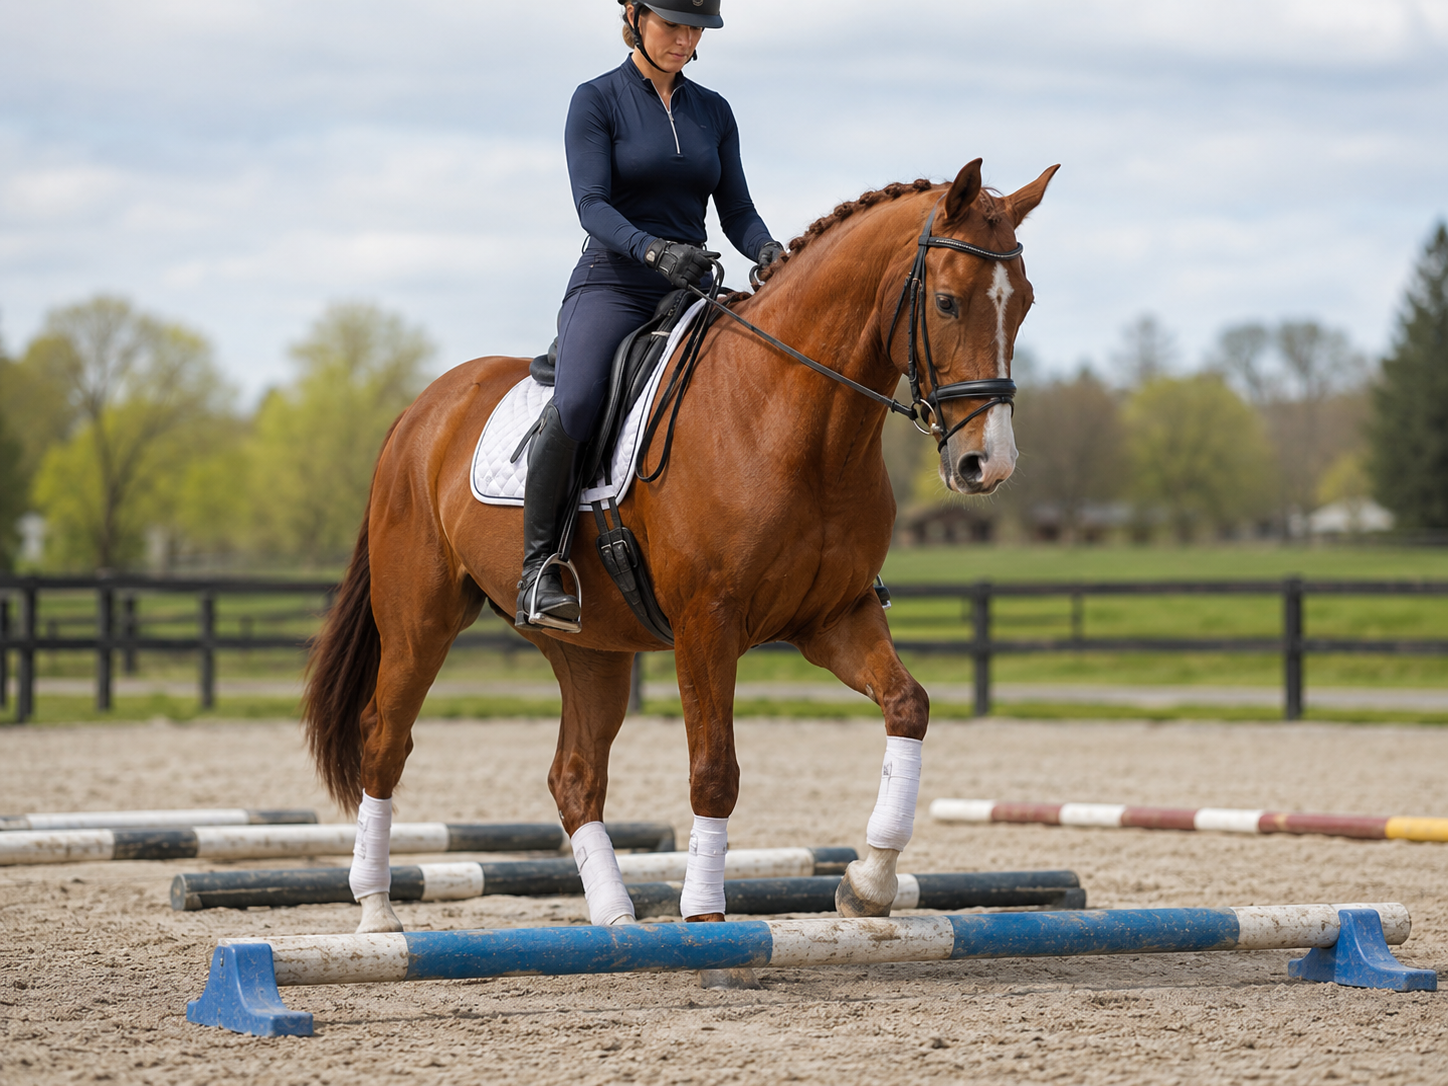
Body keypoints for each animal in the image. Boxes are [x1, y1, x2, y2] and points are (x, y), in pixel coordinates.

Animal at [302, 159, 1058, 978]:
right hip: (420, 622)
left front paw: (868, 883)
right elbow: (714, 770)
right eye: (947, 302)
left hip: (589, 649)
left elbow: (908, 706)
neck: (793, 421)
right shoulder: (708, 623)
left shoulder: (834, 617)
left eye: (1024, 304)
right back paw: (378, 916)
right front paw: (706, 918)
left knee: (574, 776)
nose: (988, 464)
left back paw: (616, 922)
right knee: (385, 741)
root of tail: (419, 412)